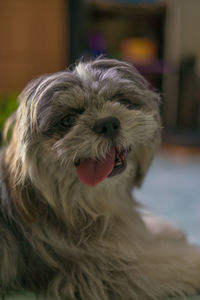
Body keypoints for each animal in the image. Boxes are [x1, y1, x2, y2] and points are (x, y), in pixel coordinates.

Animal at [0, 59, 200, 300]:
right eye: (68, 120)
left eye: (122, 101)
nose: (108, 123)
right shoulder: (102, 270)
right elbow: (171, 261)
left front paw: (162, 230)